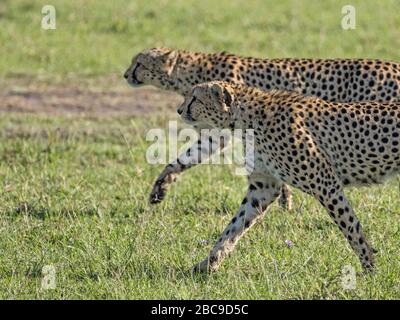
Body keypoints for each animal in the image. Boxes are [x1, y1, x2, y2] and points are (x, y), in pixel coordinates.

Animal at [123, 46, 400, 209]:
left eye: (139, 64)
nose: (126, 74)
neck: (192, 70)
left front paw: (285, 201)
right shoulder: (217, 134)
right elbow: (183, 159)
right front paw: (160, 189)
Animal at [177, 80, 400, 272]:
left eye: (195, 98)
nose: (179, 110)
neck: (246, 118)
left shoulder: (326, 184)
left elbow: (351, 227)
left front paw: (370, 269)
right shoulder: (263, 189)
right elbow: (233, 227)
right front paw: (207, 264)